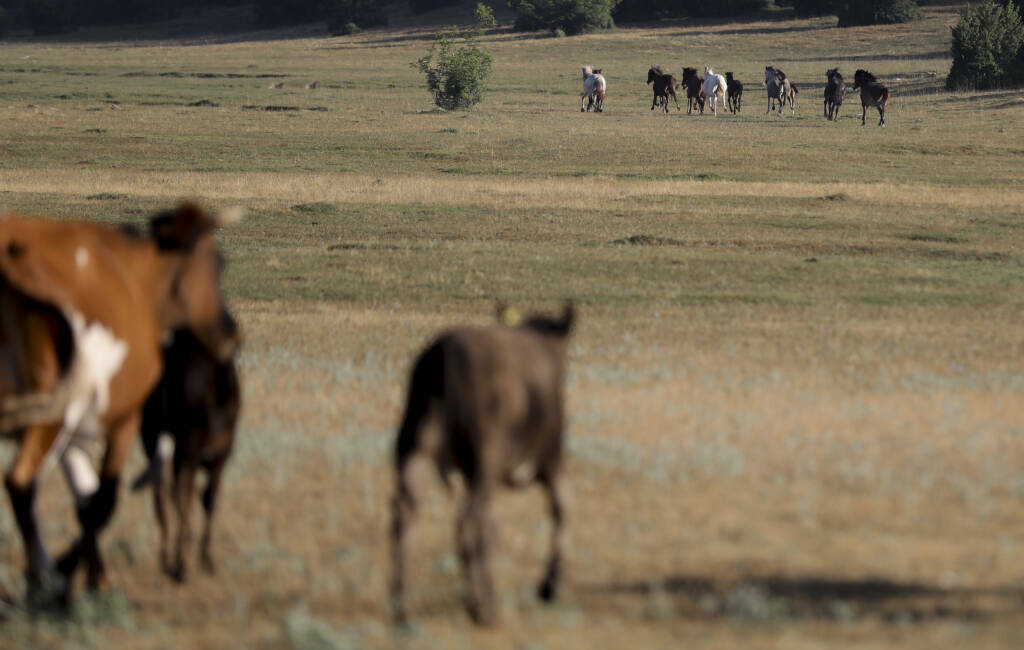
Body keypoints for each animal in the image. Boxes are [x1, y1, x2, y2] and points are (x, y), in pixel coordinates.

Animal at [0, 203, 240, 605]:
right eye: (218, 262)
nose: (230, 334)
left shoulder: (76, 433)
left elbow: (85, 501)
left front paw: (86, 577)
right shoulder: (118, 422)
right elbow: (102, 501)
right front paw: (69, 577)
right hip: (55, 416)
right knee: (22, 482)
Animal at [387, 302, 577, 626]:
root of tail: (444, 353)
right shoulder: (550, 460)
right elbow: (560, 509)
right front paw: (549, 585)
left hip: (414, 449)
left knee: (406, 514)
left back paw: (403, 608)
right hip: (484, 460)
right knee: (473, 521)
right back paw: (485, 609)